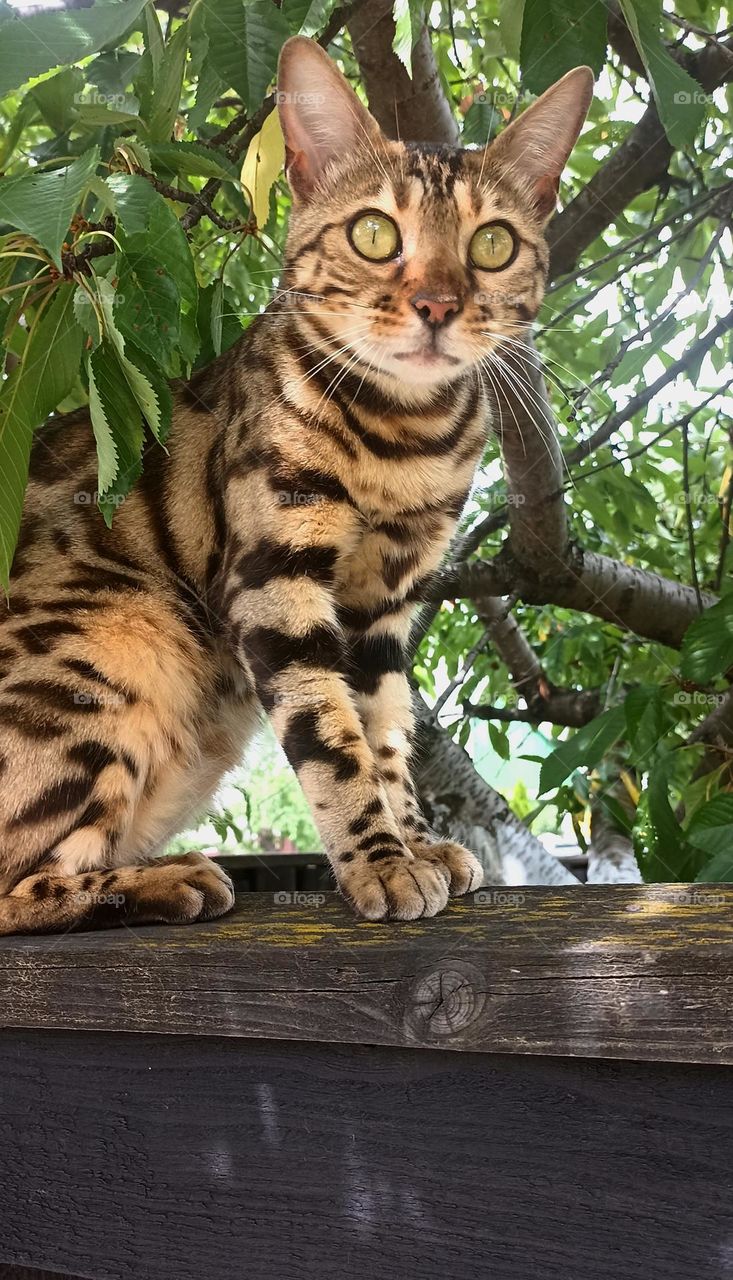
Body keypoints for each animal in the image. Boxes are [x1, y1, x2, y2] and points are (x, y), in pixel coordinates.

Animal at [0, 35, 591, 936]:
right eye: (375, 233)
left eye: (492, 245)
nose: (437, 304)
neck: (403, 442)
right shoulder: (275, 580)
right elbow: (332, 741)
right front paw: (381, 865)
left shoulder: (386, 607)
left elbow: (385, 736)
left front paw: (414, 844)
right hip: (112, 649)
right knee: (16, 887)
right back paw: (166, 880)